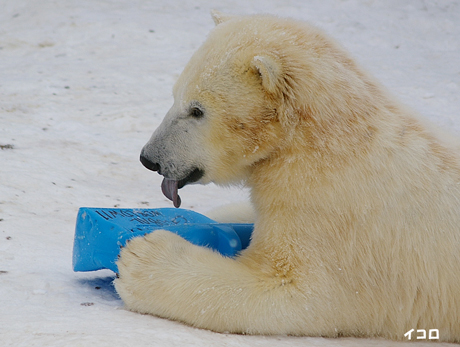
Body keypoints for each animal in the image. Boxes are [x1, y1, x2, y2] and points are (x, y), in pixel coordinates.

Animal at [114, 11, 460, 342]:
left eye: (197, 110)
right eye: (175, 95)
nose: (149, 158)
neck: (323, 142)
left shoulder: (335, 217)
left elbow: (298, 291)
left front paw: (140, 258)